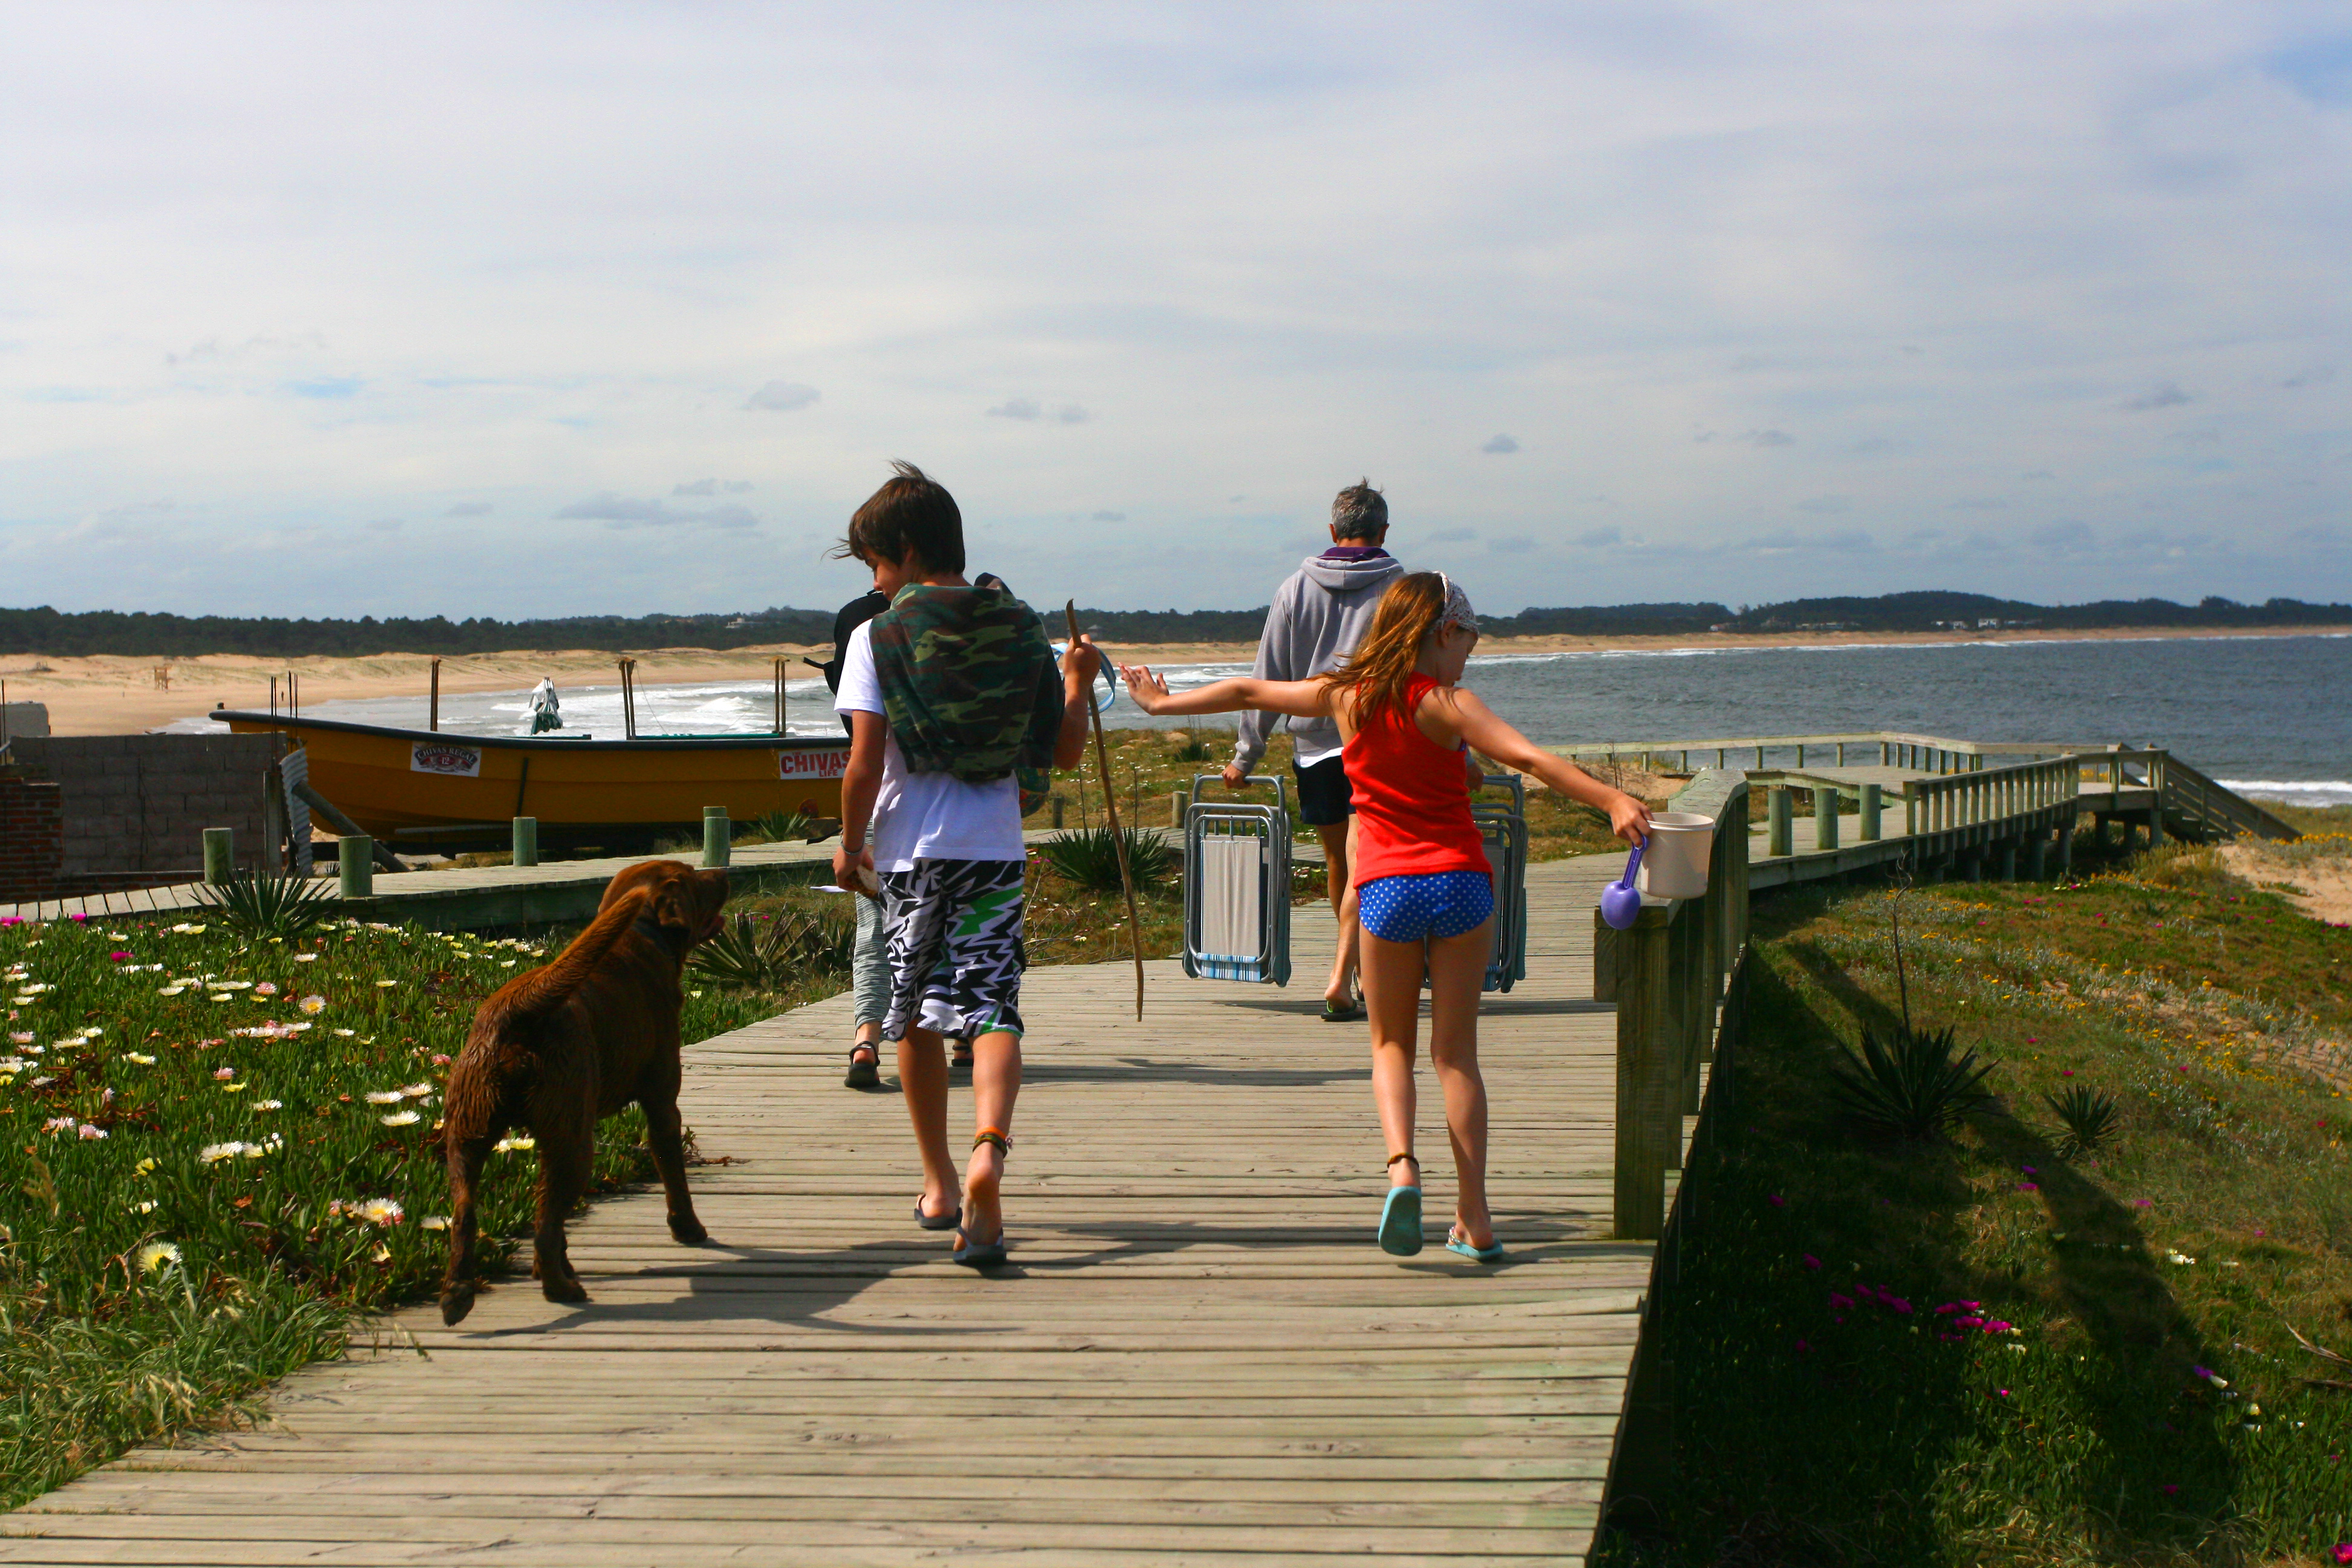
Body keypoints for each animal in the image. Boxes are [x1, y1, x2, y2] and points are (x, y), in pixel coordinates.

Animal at [437, 860, 729, 1325]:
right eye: (694, 877)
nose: (724, 872)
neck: (643, 934)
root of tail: (517, 1012)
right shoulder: (663, 1104)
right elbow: (673, 1174)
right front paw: (688, 1229)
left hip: (469, 1134)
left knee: (468, 1214)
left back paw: (459, 1294)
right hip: (573, 1143)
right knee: (543, 1225)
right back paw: (559, 1289)